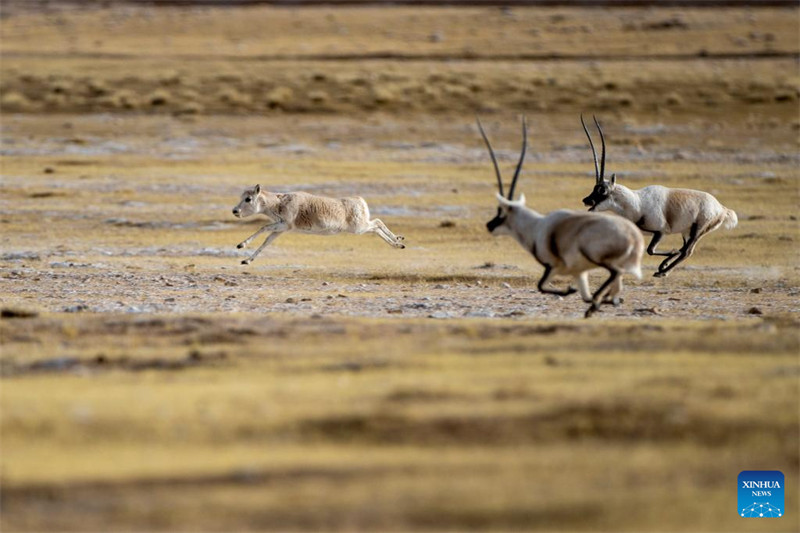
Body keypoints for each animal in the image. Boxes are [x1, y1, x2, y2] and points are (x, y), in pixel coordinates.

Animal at [231, 184, 406, 264]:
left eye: (248, 199)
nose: (235, 211)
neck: (279, 202)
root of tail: (360, 201)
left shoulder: (285, 225)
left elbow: (263, 228)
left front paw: (241, 245)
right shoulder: (280, 229)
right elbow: (266, 242)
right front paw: (247, 260)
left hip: (360, 228)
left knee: (377, 223)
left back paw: (398, 243)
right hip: (362, 227)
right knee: (377, 225)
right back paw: (399, 241)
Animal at [482, 116, 644, 316]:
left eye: (501, 212)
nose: (489, 225)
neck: (536, 226)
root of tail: (634, 238)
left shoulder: (552, 266)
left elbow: (541, 286)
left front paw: (570, 291)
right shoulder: (579, 272)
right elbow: (585, 295)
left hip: (596, 256)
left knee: (614, 273)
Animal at [576, 114, 736, 276]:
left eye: (602, 190)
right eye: (595, 188)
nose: (586, 200)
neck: (637, 202)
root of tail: (722, 209)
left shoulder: (660, 231)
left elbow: (650, 250)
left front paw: (671, 254)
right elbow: (649, 250)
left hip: (698, 230)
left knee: (686, 251)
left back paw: (662, 271)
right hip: (686, 232)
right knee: (685, 249)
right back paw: (664, 267)